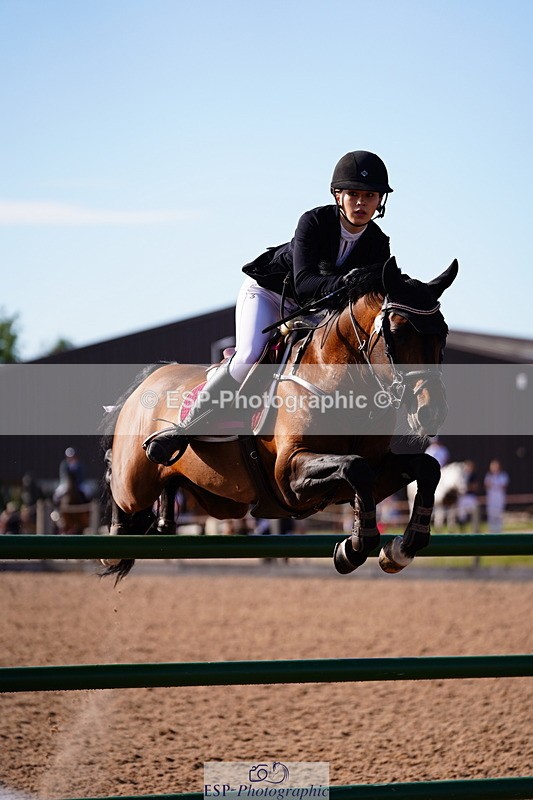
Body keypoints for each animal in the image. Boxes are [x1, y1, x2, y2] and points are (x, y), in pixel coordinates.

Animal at [101, 256, 458, 580]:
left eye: (442, 333)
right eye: (397, 331)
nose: (431, 411)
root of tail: (150, 377)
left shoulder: (376, 468)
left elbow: (425, 468)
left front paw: (399, 549)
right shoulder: (289, 474)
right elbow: (354, 467)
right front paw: (353, 549)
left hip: (219, 499)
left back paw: (163, 518)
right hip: (135, 483)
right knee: (117, 482)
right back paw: (115, 542)